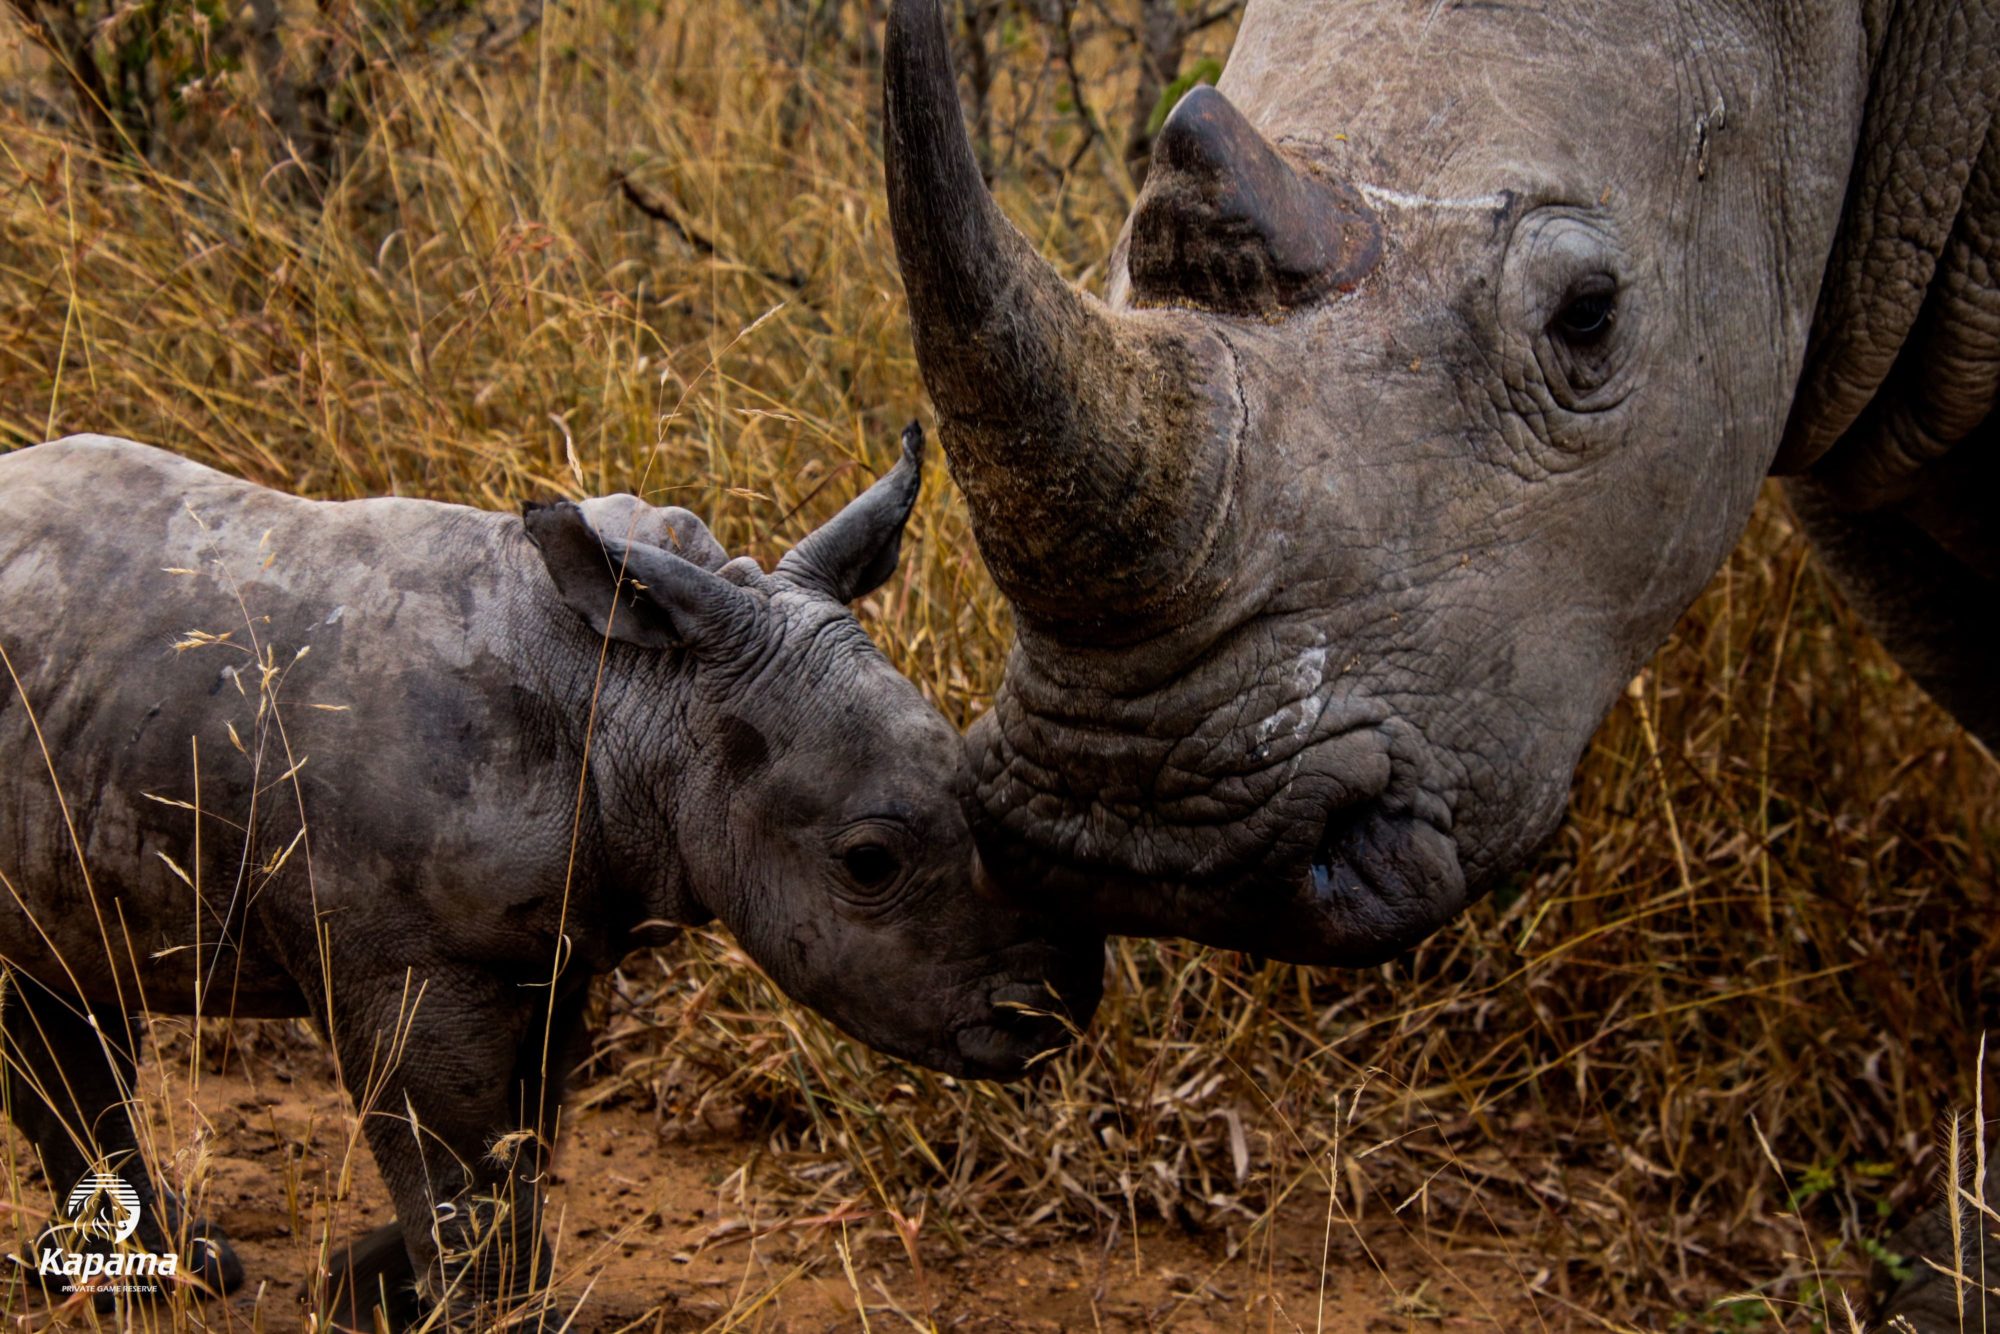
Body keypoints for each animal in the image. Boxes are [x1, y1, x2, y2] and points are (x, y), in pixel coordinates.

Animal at [0, 429, 1103, 1328]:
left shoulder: (551, 942)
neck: (642, 688)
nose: (1054, 1005)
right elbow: (453, 1150)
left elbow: (524, 1132)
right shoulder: (406, 961)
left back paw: (155, 1277)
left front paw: (383, 1291)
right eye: (867, 863)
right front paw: (459, 1308)